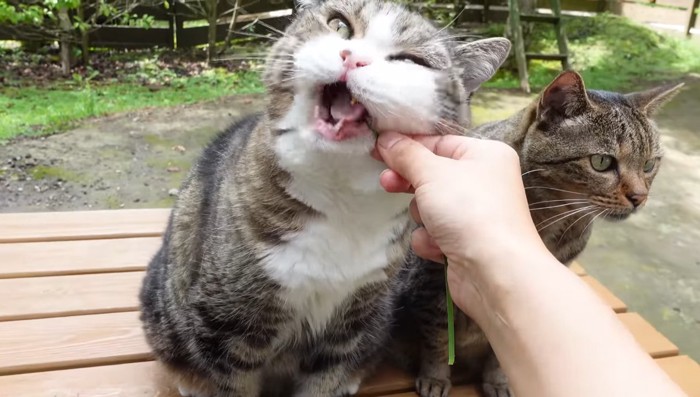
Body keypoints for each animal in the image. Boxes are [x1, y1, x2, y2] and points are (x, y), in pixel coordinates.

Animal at [139, 0, 508, 394]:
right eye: (338, 25)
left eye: (411, 62)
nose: (353, 58)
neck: (339, 195)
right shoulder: (227, 325)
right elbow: (231, 381)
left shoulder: (350, 324)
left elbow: (326, 377)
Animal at [402, 69, 688, 394]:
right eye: (602, 162)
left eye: (650, 164)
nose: (640, 197)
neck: (550, 219)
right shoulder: (431, 281)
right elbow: (437, 337)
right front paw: (435, 376)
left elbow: (502, 352)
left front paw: (498, 380)